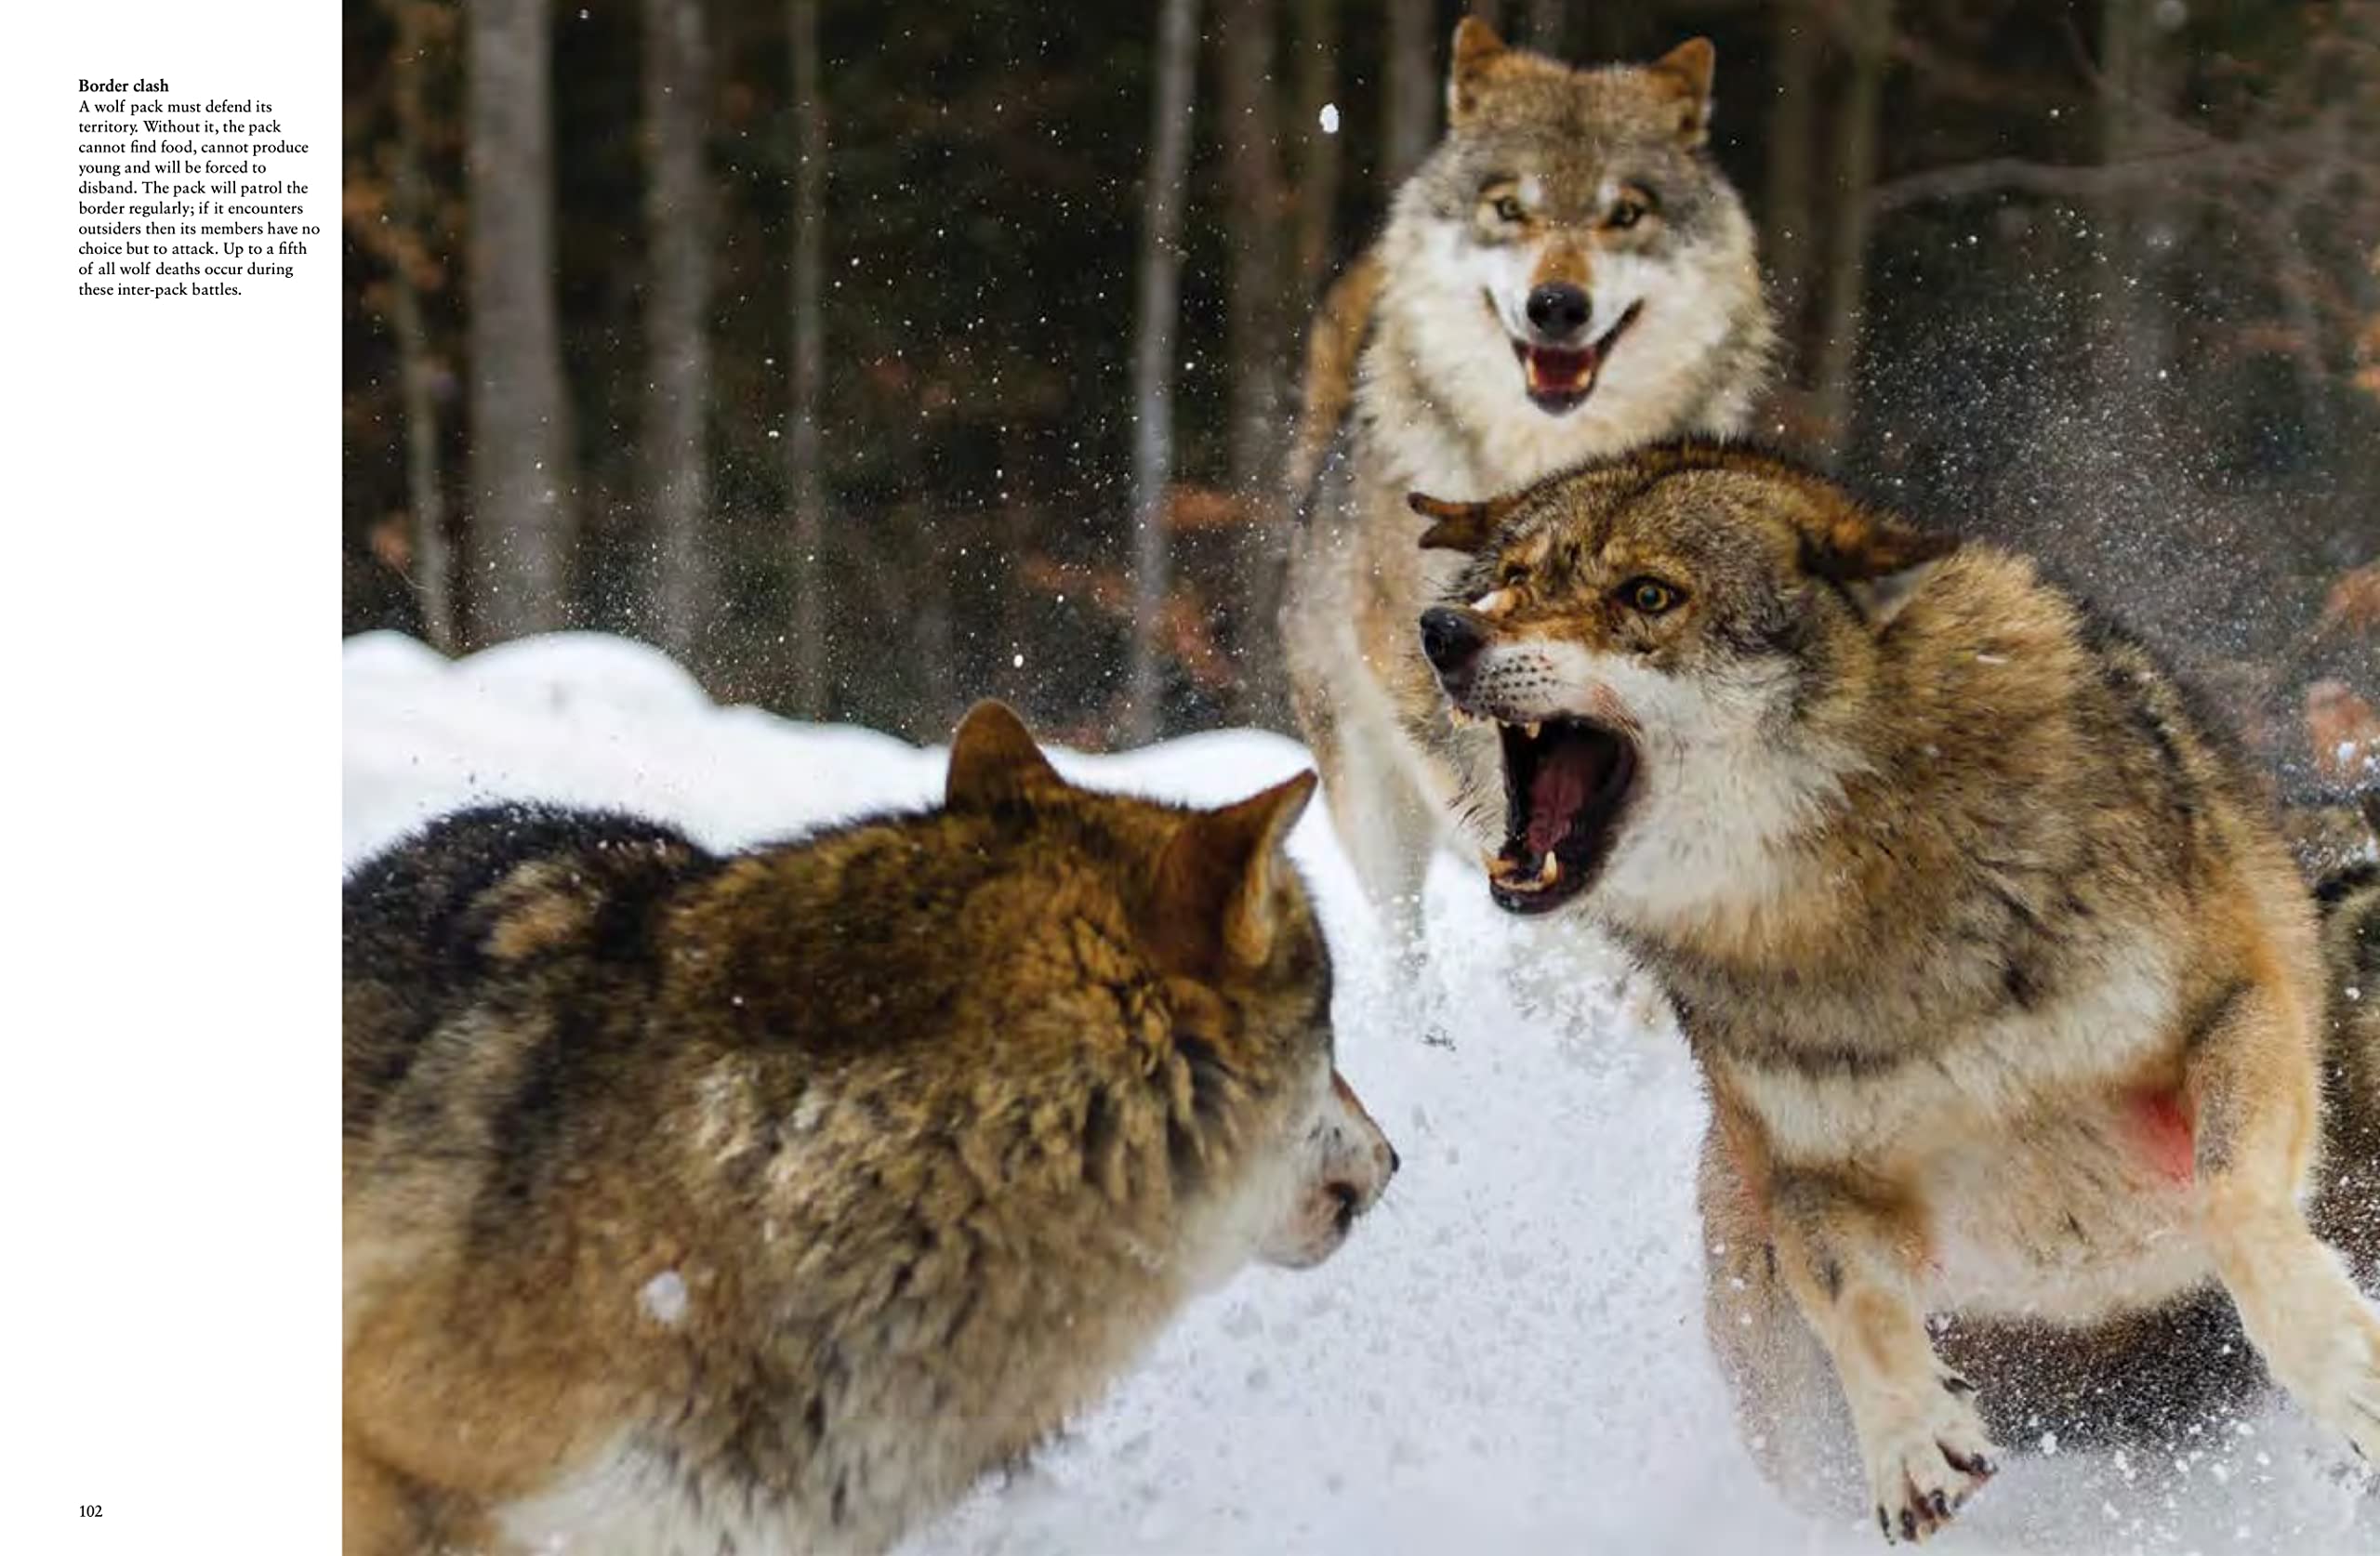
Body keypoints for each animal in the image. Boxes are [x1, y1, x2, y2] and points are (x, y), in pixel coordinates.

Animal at [1411, 443, 2380, 1542]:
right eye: (1512, 576)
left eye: (1648, 595)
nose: (1445, 631)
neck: (1858, 900)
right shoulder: (1813, 1180)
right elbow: (1862, 1309)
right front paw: (1914, 1439)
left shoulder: (2238, 1009)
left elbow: (2234, 1205)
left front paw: (2342, 1367)